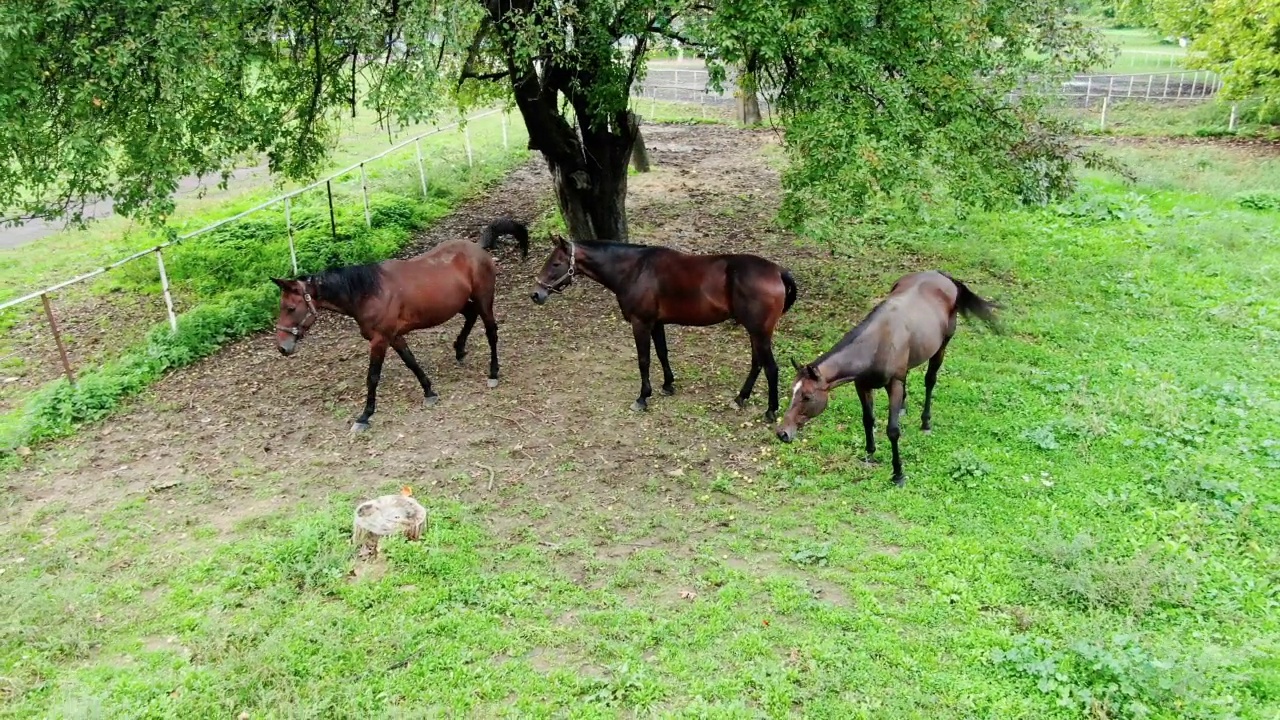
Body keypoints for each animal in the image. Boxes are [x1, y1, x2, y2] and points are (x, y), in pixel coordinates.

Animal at [270, 238, 499, 427]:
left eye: (291, 308)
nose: (282, 346)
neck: (370, 293)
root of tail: (478, 248)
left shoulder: (380, 340)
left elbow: (373, 376)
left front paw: (365, 415)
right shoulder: (394, 336)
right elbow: (411, 362)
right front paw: (429, 392)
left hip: (484, 300)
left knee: (491, 333)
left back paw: (493, 373)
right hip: (458, 303)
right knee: (471, 316)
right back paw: (459, 350)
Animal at [532, 235, 798, 417]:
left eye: (555, 263)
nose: (536, 294)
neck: (635, 269)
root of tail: (778, 271)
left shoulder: (641, 323)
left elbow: (644, 360)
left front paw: (642, 397)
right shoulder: (656, 323)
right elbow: (662, 353)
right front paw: (668, 384)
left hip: (759, 332)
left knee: (771, 368)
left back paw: (770, 411)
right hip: (755, 332)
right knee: (757, 364)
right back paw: (741, 397)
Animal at [768, 271, 998, 484]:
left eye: (807, 396)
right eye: (792, 392)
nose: (782, 433)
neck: (877, 344)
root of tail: (941, 275)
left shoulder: (893, 384)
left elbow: (893, 430)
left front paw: (898, 474)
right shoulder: (862, 385)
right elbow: (868, 419)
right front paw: (869, 453)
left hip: (941, 348)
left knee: (930, 380)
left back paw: (926, 422)